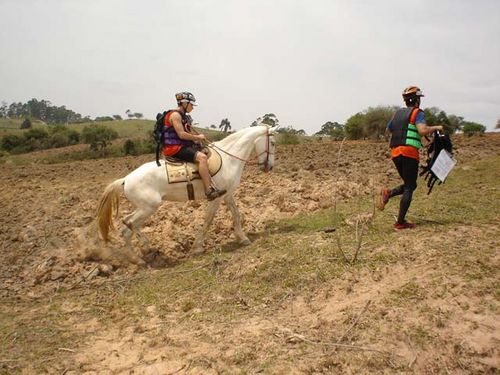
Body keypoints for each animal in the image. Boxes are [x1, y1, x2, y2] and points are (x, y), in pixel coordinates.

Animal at [95, 126, 276, 264]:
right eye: (273, 143)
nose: (270, 167)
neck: (228, 159)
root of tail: (125, 180)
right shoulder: (217, 197)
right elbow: (208, 219)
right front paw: (197, 247)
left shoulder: (228, 195)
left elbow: (236, 214)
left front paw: (242, 238)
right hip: (149, 207)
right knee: (129, 223)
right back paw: (146, 247)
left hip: (143, 208)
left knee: (126, 229)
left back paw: (137, 260)